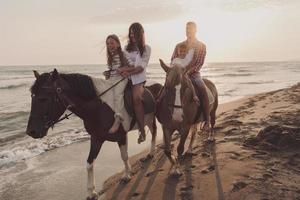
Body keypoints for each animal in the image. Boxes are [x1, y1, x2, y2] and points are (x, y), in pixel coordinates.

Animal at [25, 69, 162, 200]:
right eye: (32, 96)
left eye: (43, 98)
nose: (31, 131)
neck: (99, 108)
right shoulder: (96, 138)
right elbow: (89, 164)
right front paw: (91, 192)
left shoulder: (121, 136)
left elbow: (124, 156)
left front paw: (127, 175)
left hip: (150, 119)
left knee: (155, 131)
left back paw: (152, 152)